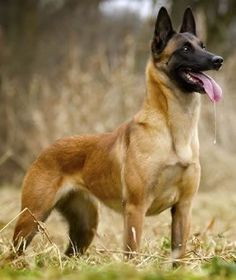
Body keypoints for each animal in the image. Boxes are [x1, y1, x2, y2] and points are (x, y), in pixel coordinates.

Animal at [12, 7, 223, 264]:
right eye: (185, 49)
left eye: (203, 45)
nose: (218, 60)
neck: (174, 132)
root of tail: (46, 149)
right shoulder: (135, 208)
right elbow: (132, 253)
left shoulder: (183, 207)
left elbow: (178, 255)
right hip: (31, 219)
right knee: (11, 254)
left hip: (85, 227)